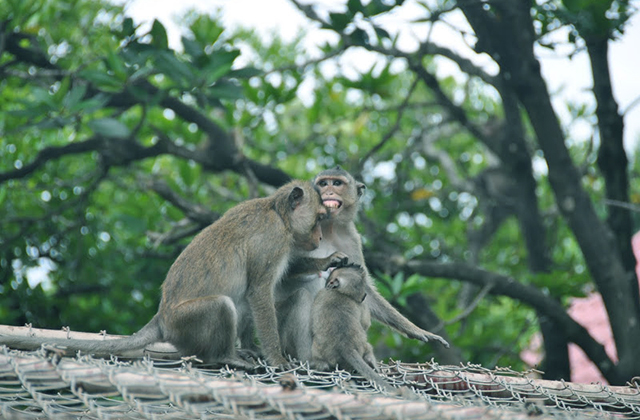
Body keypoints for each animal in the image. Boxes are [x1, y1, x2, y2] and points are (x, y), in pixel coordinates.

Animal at [0, 180, 327, 368]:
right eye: (319, 218)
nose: (322, 237)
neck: (279, 214)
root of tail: (161, 317)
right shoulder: (272, 241)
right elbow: (259, 291)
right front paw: (277, 359)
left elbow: (258, 291)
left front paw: (327, 261)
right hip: (185, 324)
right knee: (222, 305)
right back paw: (227, 357)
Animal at [276, 166, 449, 362]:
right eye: (323, 183)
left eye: (337, 183)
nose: (329, 191)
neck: (329, 227)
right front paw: (327, 261)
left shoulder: (352, 239)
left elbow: (362, 285)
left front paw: (417, 331)